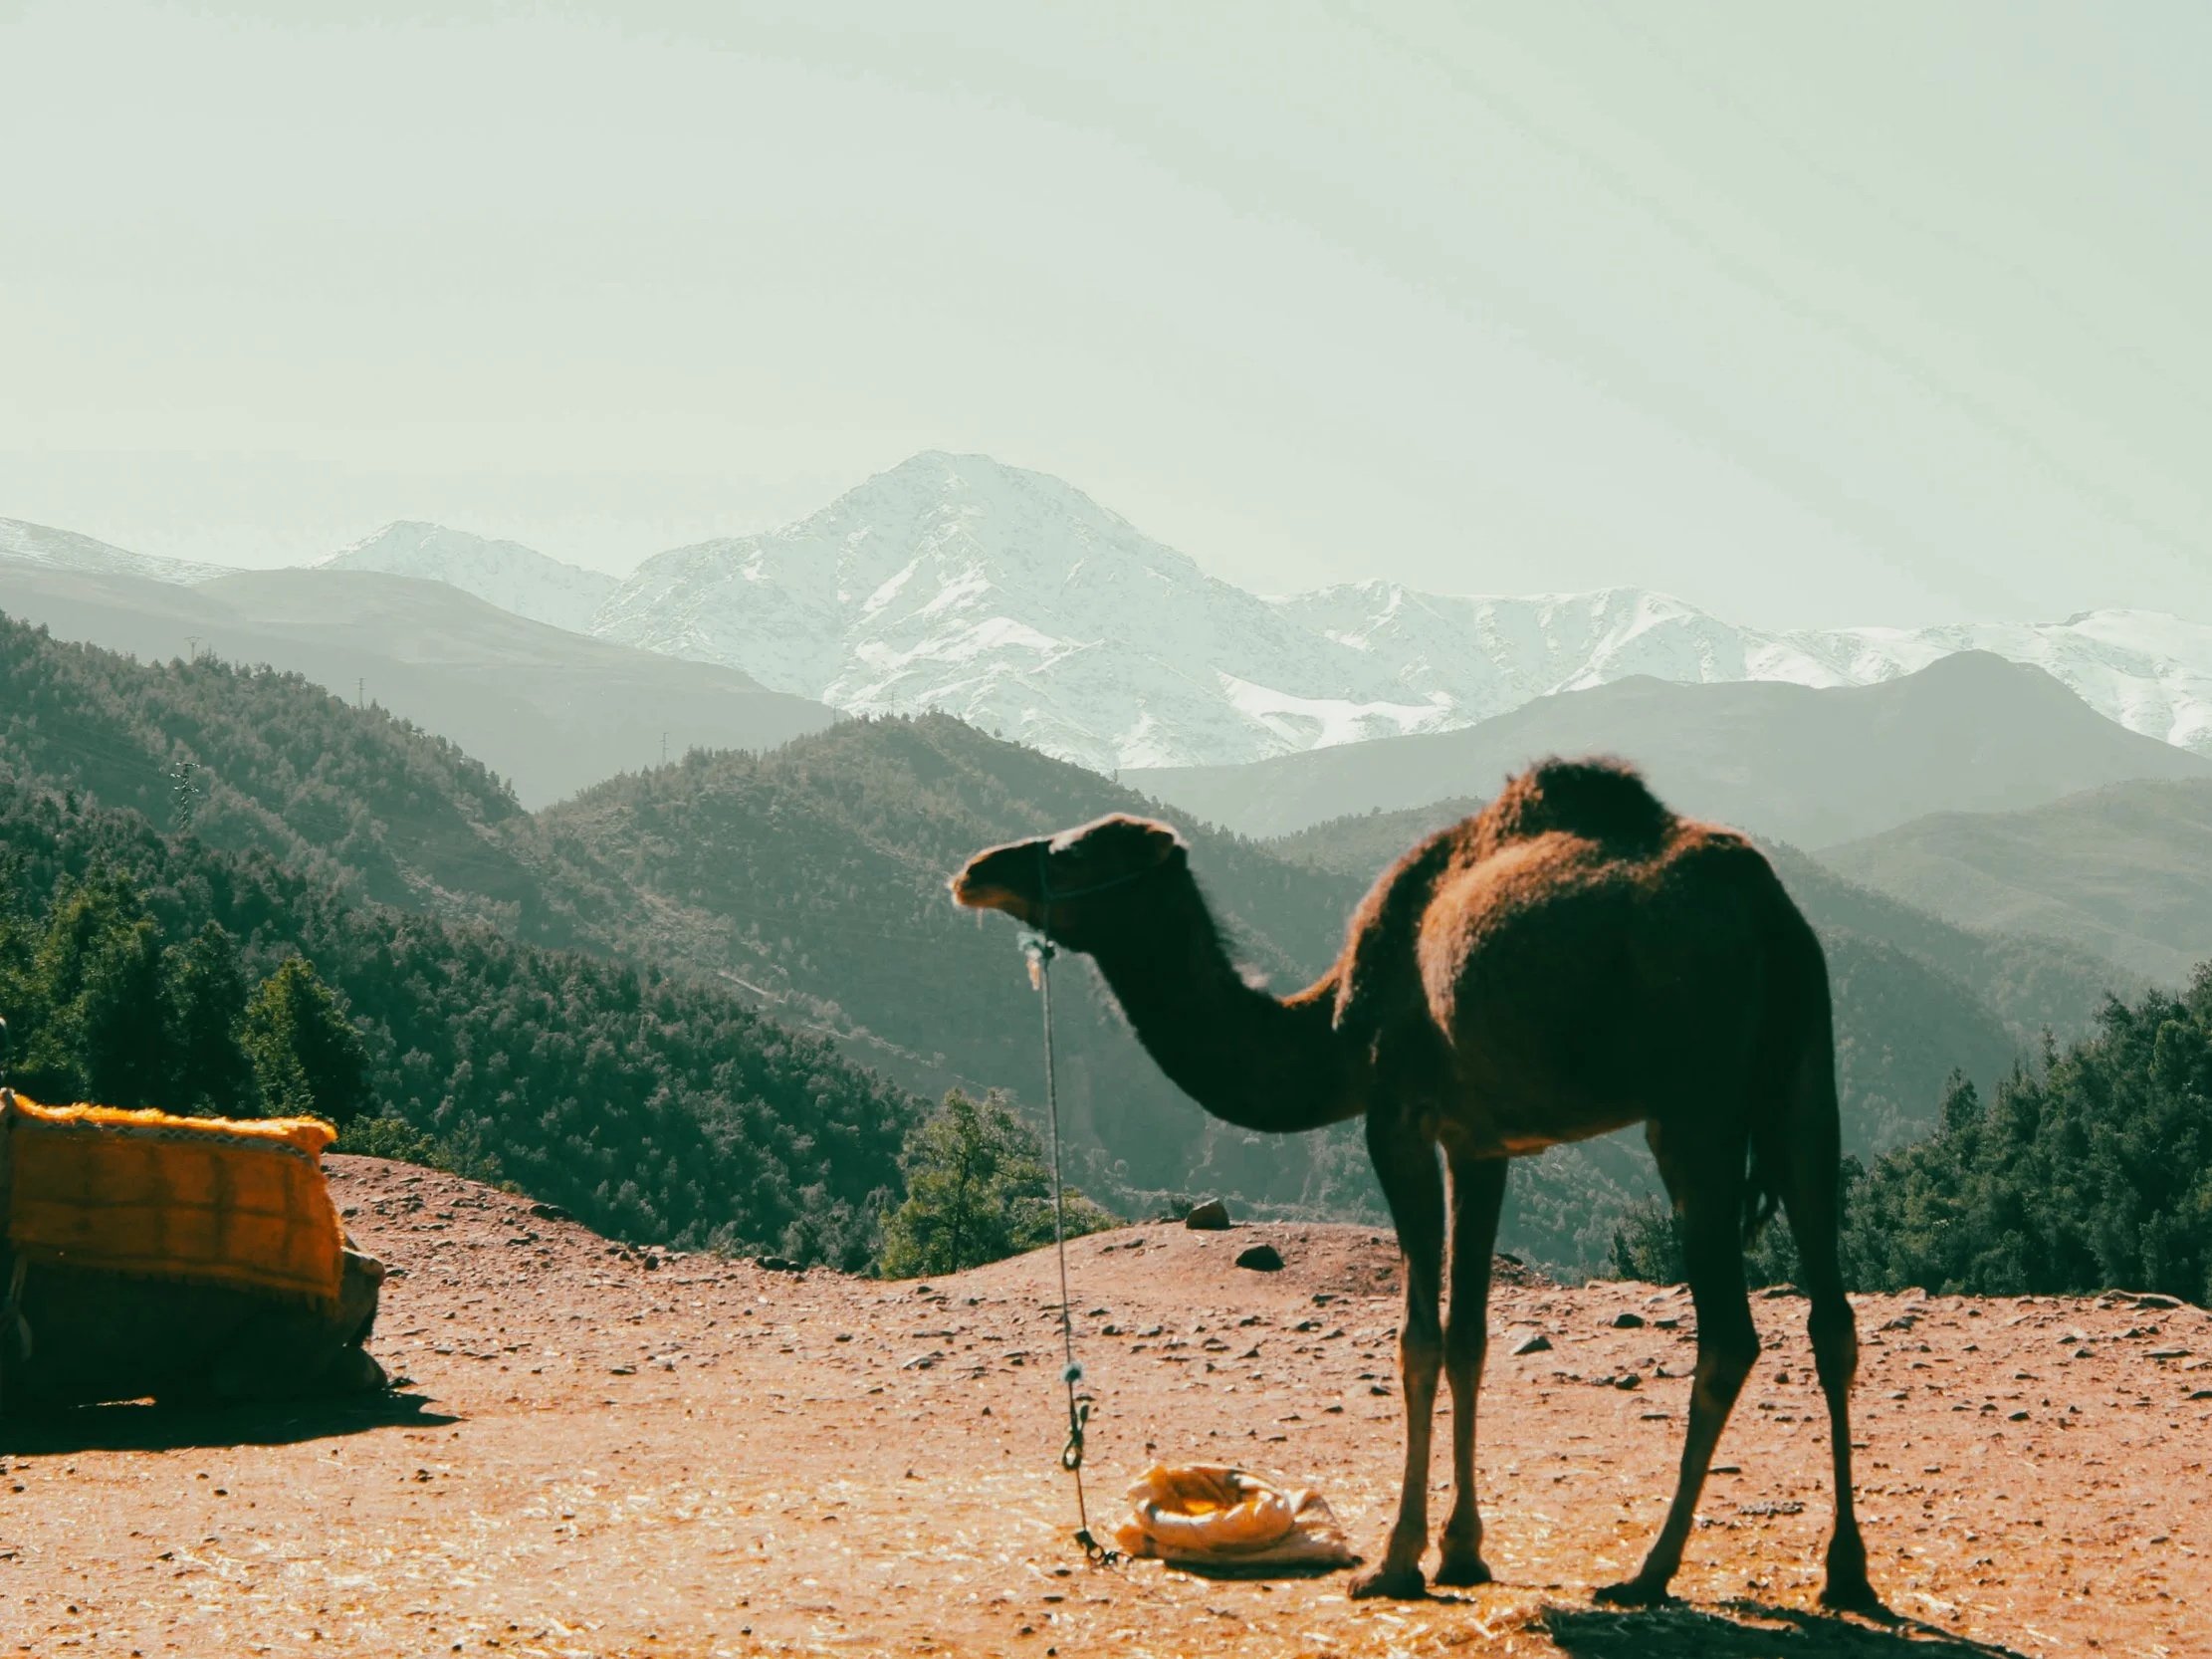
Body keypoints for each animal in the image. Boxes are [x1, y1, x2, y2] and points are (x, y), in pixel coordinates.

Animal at [950, 758, 1876, 1610]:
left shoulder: (1396, 1116)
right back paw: (1846, 1571)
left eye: (1071, 854)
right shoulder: (1480, 1142)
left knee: (1730, 1335)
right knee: (1831, 1317)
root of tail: (1772, 917)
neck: (1336, 1028)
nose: (975, 871)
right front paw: (1464, 1551)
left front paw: (1397, 1561)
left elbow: (1416, 1340)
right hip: (1807, 1077)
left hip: (1693, 1104)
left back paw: (1650, 1570)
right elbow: (1469, 1336)